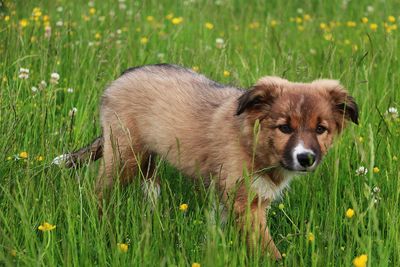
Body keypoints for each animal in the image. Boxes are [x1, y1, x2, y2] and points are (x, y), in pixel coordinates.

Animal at [54, 63, 360, 260]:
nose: (305, 158)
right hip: (123, 156)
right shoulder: (246, 203)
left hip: (145, 155)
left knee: (150, 186)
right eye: (284, 128)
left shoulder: (236, 197)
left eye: (321, 129)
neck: (252, 141)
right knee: (100, 193)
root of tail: (119, 79)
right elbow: (268, 248)